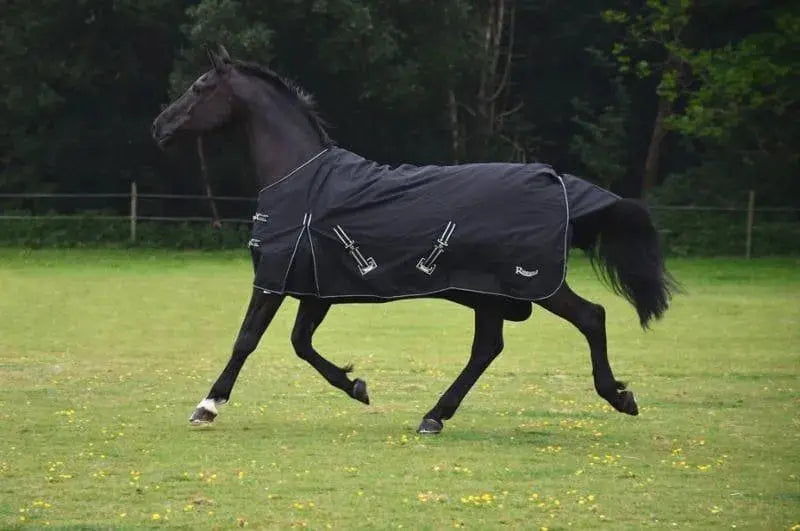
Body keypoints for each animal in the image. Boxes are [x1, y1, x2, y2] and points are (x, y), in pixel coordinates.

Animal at [151, 45, 675, 435]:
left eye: (200, 86)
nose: (159, 126)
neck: (301, 179)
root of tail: (558, 183)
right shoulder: (317, 287)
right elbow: (300, 343)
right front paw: (357, 386)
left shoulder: (276, 278)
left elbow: (247, 339)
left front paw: (207, 406)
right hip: (491, 295)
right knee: (489, 348)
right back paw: (434, 417)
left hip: (529, 285)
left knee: (590, 317)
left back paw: (618, 396)